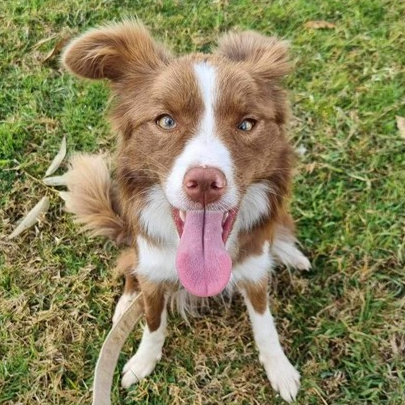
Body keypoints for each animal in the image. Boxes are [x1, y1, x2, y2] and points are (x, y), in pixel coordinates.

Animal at [60, 21, 310, 400]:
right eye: (166, 121)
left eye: (247, 124)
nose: (205, 182)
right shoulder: (153, 269)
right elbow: (153, 322)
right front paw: (142, 361)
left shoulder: (253, 272)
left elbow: (264, 322)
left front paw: (279, 369)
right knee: (129, 268)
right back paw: (125, 305)